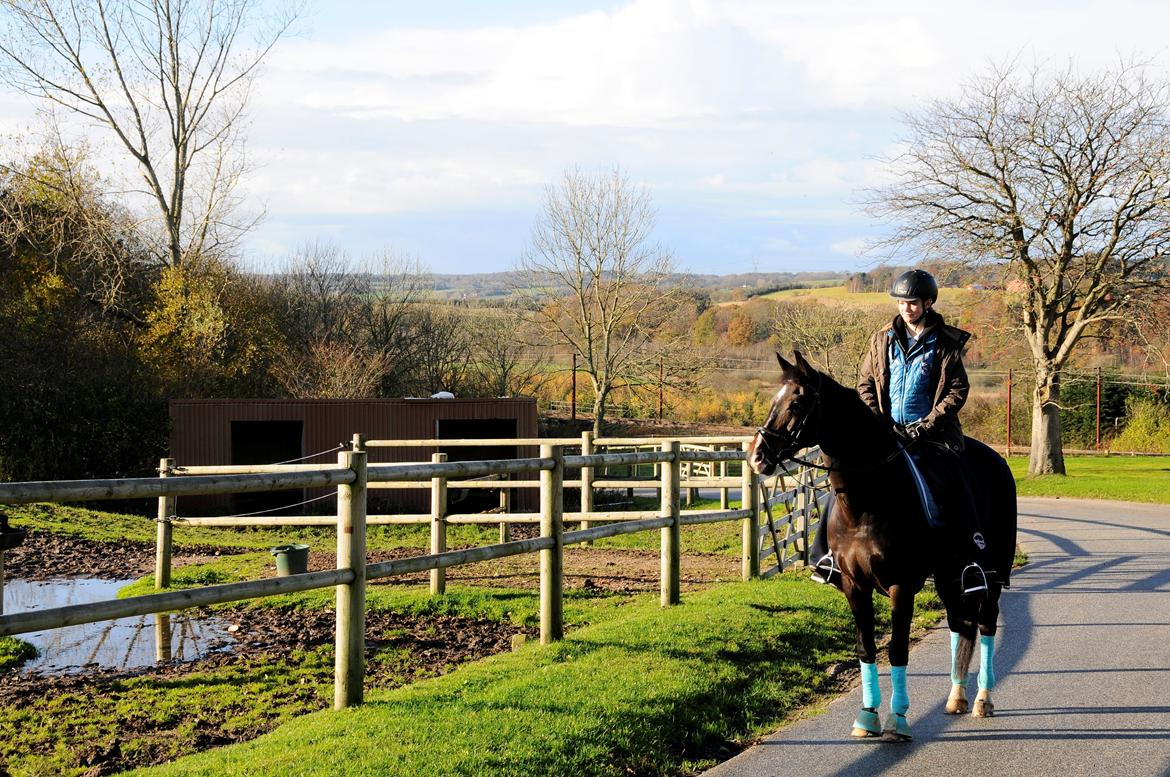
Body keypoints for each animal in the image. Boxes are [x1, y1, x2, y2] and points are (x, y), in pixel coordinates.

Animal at [746, 351, 1016, 742]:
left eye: (796, 403)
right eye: (773, 400)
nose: (757, 456)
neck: (868, 502)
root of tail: (997, 461)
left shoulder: (901, 585)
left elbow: (898, 649)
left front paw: (898, 720)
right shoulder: (853, 585)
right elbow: (867, 646)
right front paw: (867, 716)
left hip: (991, 575)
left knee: (986, 623)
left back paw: (983, 699)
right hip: (949, 576)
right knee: (959, 622)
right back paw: (956, 697)